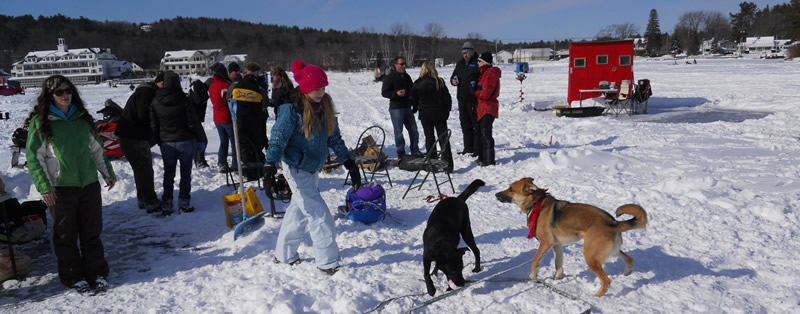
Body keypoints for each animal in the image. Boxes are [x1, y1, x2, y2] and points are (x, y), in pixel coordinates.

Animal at [496, 178, 648, 296]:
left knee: (606, 280)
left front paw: (532, 277)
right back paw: (628, 271)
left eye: (510, 189)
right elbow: (558, 265)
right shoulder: (556, 245)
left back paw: (597, 296)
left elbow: (535, 261)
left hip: (590, 256)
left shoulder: (546, 242)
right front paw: (557, 280)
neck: (536, 203)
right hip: (609, 250)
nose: (496, 194)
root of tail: (613, 222)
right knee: (629, 259)